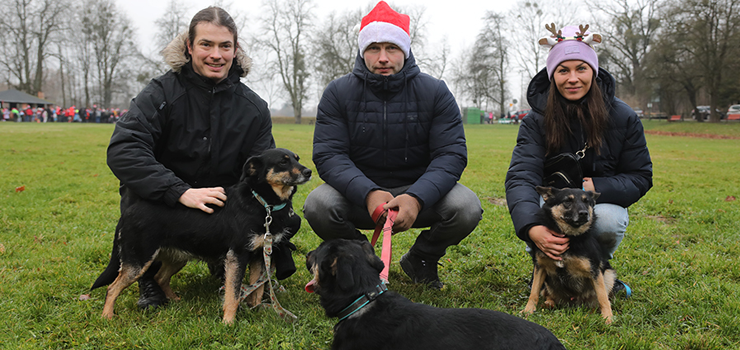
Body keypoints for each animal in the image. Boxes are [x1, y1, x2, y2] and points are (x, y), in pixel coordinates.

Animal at [91, 148, 310, 326]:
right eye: (283, 162)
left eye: (297, 158)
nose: (308, 172)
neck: (264, 204)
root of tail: (128, 213)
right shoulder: (237, 256)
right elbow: (233, 294)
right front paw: (228, 322)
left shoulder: (259, 255)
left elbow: (256, 289)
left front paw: (257, 310)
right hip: (138, 259)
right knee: (112, 288)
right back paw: (106, 316)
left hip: (177, 256)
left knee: (160, 277)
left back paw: (174, 300)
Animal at [524, 187, 616, 324]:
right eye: (567, 201)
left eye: (587, 202)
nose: (584, 213)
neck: (569, 236)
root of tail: (573, 304)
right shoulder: (540, 268)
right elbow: (534, 292)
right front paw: (527, 310)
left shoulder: (594, 271)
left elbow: (602, 297)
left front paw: (608, 318)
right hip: (547, 284)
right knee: (548, 295)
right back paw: (549, 303)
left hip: (609, 275)